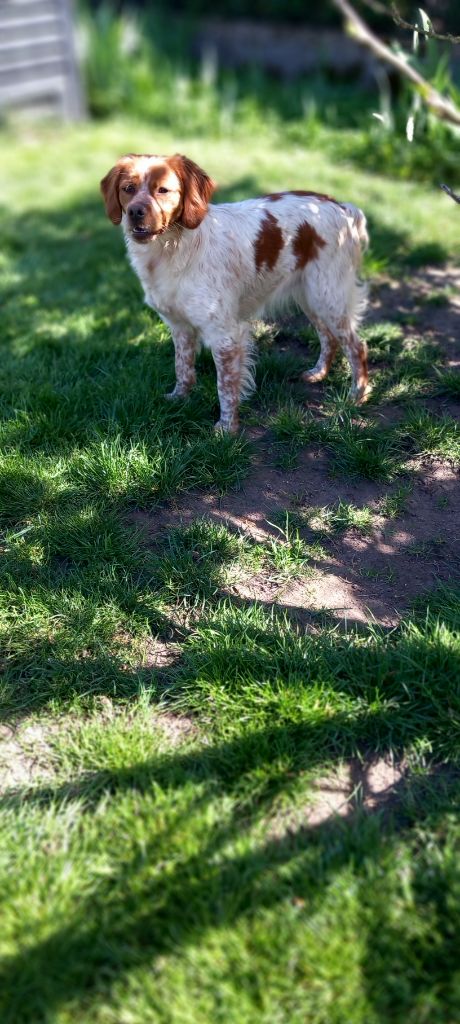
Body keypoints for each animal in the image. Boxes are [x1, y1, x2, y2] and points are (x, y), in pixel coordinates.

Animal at [101, 153, 369, 433]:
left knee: (357, 346)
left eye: (162, 190)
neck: (171, 249)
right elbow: (182, 367)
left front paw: (226, 429)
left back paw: (356, 397)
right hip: (311, 297)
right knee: (329, 338)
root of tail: (341, 206)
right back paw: (318, 373)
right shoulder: (180, 326)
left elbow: (226, 387)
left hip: (328, 296)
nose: (135, 212)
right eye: (128, 189)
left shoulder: (225, 335)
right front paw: (179, 399)